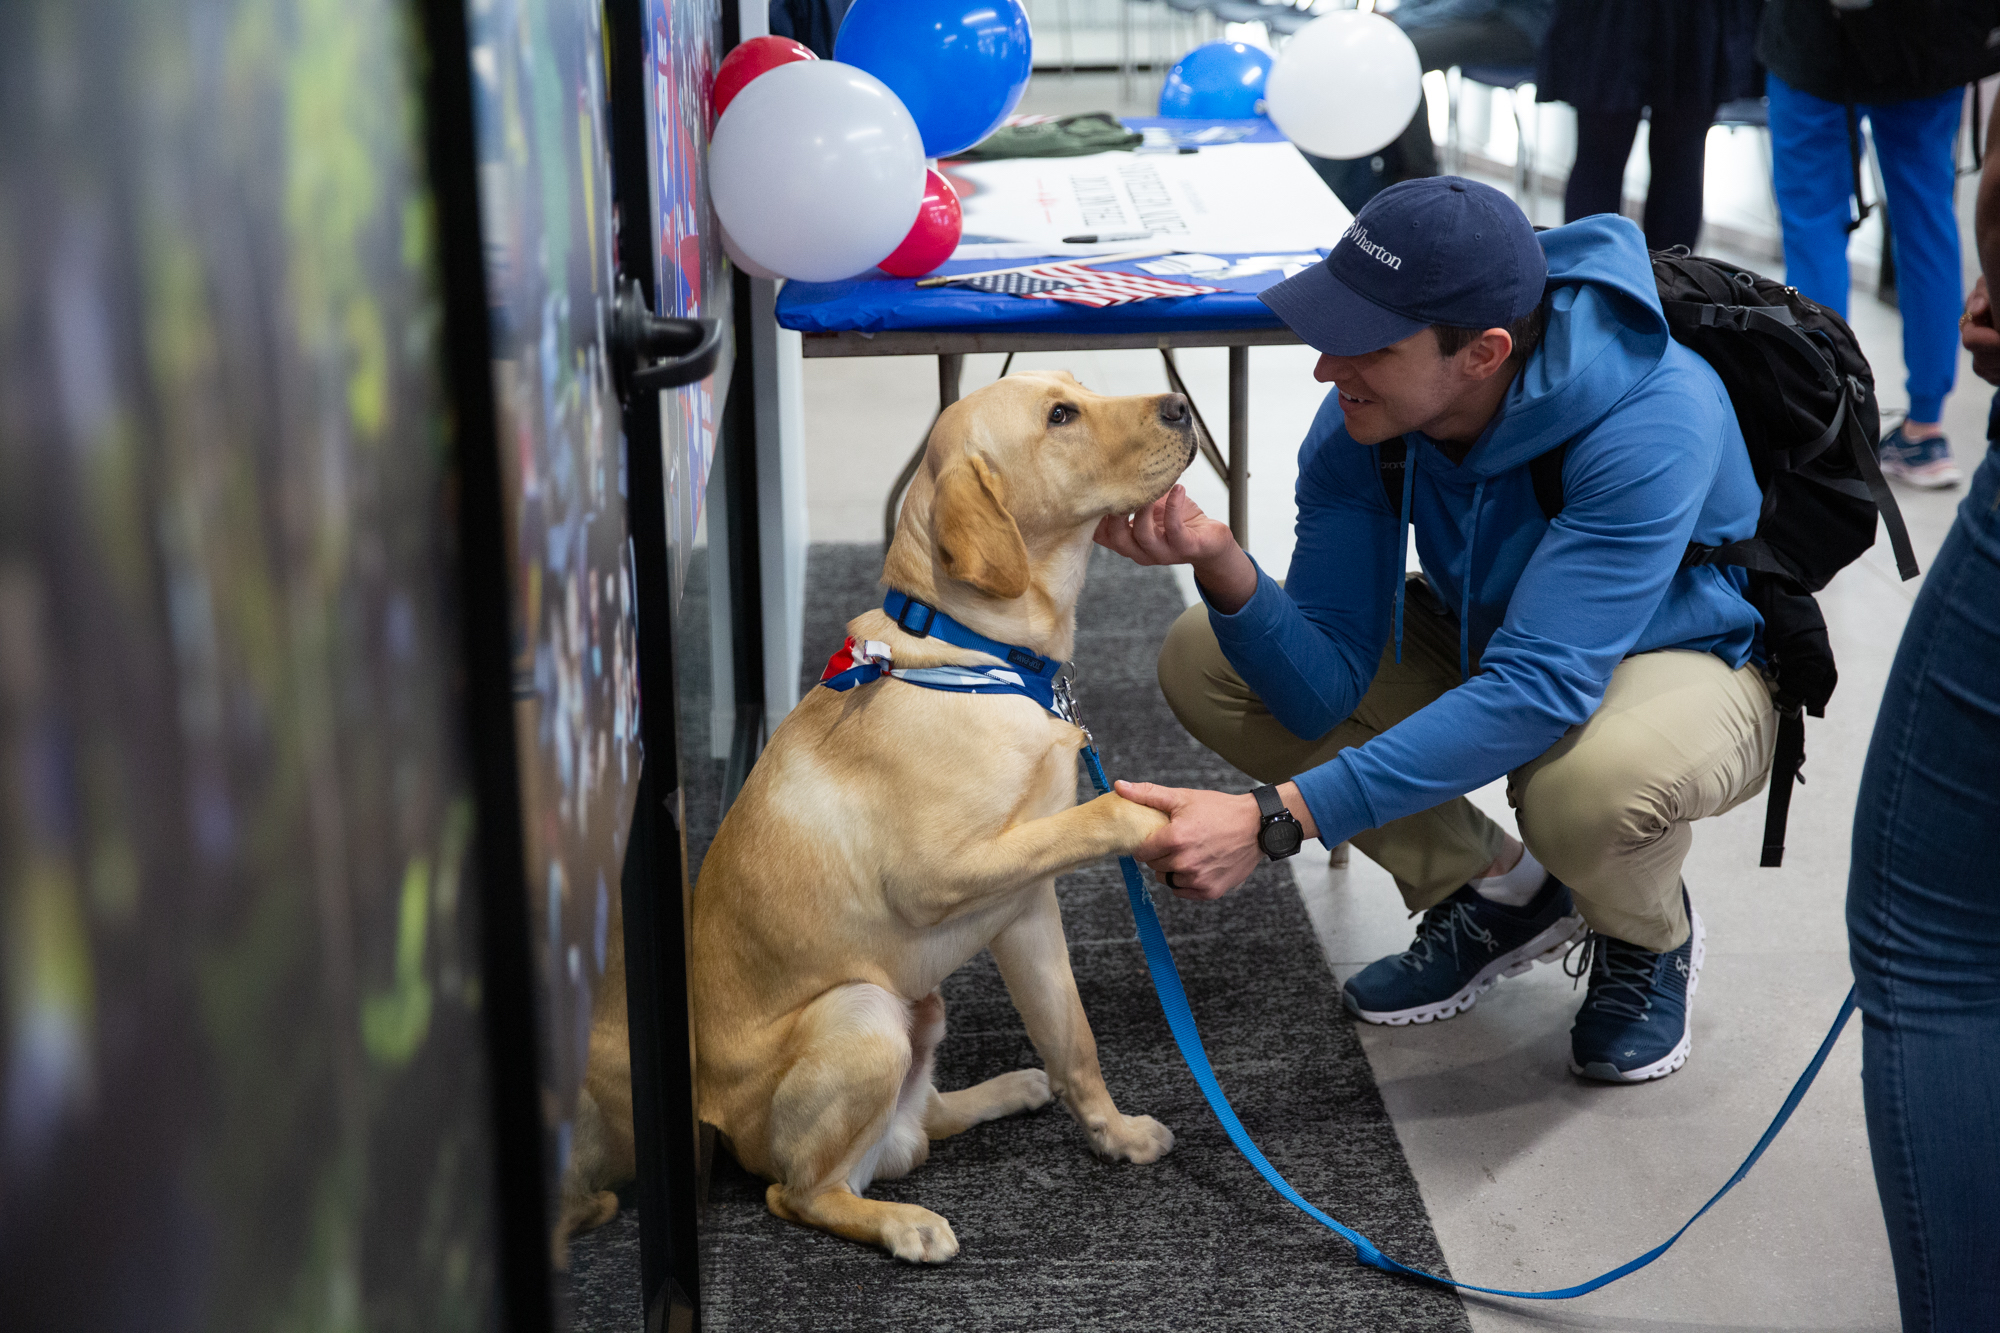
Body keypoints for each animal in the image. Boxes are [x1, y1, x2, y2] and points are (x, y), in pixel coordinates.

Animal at [692, 370, 1184, 1256]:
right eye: (1061, 416)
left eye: (1079, 389)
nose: (1181, 409)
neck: (982, 655)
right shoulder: (935, 874)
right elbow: (1098, 813)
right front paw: (1152, 822)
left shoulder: (1025, 909)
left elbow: (1076, 1042)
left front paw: (1116, 1134)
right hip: (865, 1014)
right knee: (803, 1192)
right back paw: (903, 1224)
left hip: (924, 1008)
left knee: (926, 1120)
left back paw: (1008, 1088)